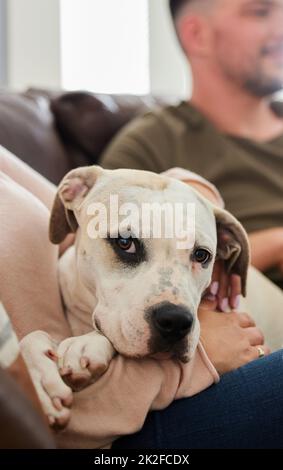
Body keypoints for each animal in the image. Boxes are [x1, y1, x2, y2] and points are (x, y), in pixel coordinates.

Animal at [20, 165, 248, 426]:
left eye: (201, 255)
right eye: (125, 242)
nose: (176, 321)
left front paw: (87, 344)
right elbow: (31, 337)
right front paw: (40, 379)